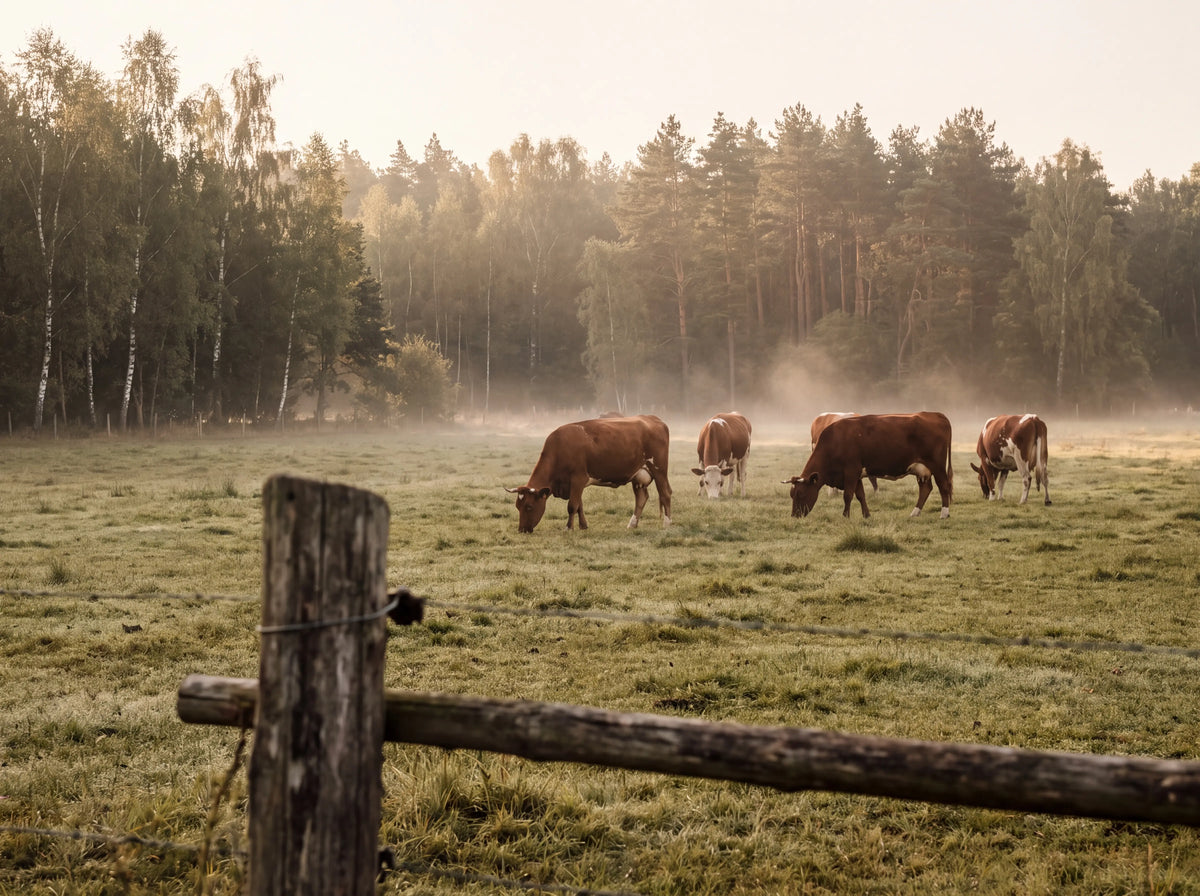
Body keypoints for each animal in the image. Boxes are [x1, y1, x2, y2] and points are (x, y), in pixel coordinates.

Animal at [505, 414, 672, 532]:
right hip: (638, 476)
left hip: (659, 469)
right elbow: (579, 505)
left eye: (529, 507)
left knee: (665, 493)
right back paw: (632, 524)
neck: (560, 448)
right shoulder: (575, 484)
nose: (522, 530)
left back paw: (667, 524)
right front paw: (583, 526)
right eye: (517, 506)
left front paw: (568, 528)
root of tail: (654, 419)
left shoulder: (578, 478)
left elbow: (572, 505)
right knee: (641, 498)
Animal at [784, 411, 953, 519]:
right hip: (922, 469)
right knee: (925, 489)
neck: (835, 441)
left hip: (937, 465)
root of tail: (936, 414)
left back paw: (944, 513)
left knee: (943, 486)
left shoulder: (851, 471)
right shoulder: (856, 474)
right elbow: (860, 495)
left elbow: (848, 495)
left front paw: (845, 516)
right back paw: (915, 513)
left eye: (800, 493)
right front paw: (866, 515)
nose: (794, 516)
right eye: (792, 494)